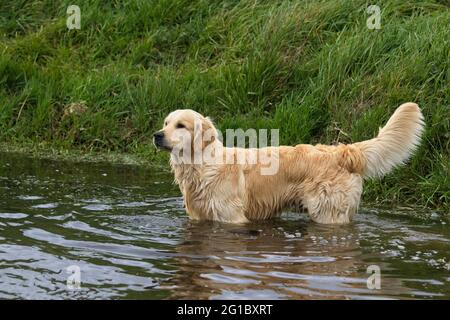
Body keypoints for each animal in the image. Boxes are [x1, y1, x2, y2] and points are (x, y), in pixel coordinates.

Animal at [153, 104, 424, 224]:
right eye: (166, 123)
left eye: (181, 126)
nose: (157, 135)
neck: (200, 166)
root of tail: (343, 150)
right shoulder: (199, 217)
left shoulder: (232, 218)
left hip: (327, 212)